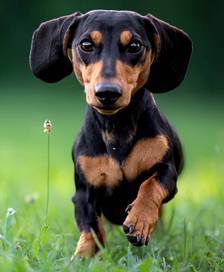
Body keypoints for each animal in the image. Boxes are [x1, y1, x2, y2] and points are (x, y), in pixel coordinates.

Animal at [28, 10, 192, 258]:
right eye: (86, 45)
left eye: (134, 46)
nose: (107, 93)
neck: (117, 129)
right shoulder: (83, 193)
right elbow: (91, 228)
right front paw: (83, 256)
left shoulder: (167, 171)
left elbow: (150, 185)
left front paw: (140, 220)